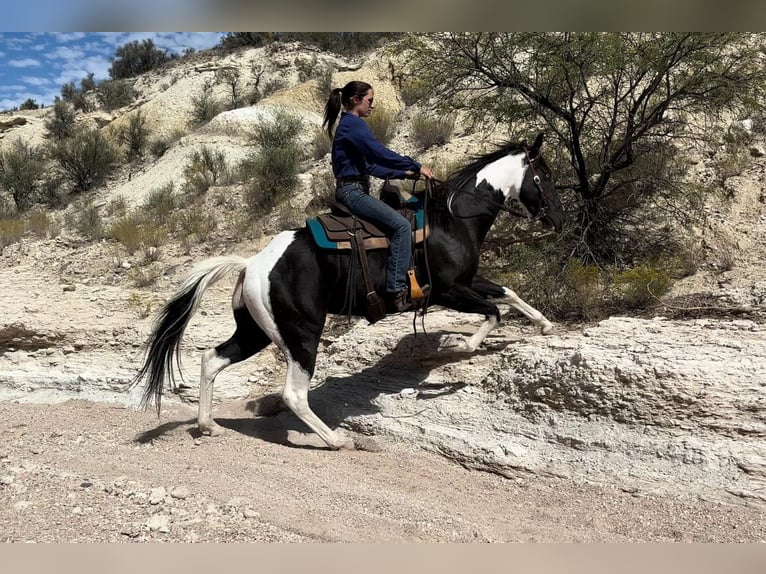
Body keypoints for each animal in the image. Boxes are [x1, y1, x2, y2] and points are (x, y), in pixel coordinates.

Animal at [134, 134, 564, 450]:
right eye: (543, 177)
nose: (558, 219)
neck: (451, 221)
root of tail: (251, 264)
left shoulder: (469, 282)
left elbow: (507, 293)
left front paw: (545, 325)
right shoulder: (448, 291)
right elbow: (494, 313)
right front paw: (456, 347)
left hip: (255, 331)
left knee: (212, 359)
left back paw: (208, 425)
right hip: (302, 333)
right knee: (293, 394)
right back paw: (335, 439)